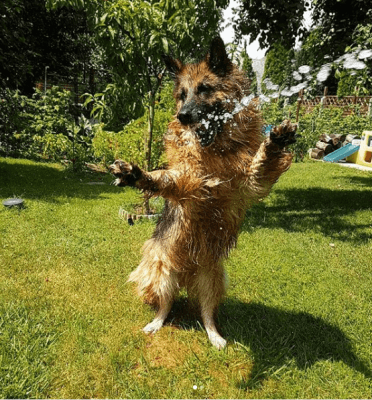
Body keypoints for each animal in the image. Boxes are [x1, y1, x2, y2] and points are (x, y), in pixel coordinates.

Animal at [109, 37, 296, 350]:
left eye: (204, 89)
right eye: (182, 95)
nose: (183, 116)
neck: (215, 147)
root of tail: (186, 274)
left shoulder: (247, 184)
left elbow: (261, 164)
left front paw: (274, 143)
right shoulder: (187, 182)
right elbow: (166, 179)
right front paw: (138, 175)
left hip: (212, 278)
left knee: (207, 312)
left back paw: (214, 334)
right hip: (163, 271)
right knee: (165, 305)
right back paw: (156, 322)